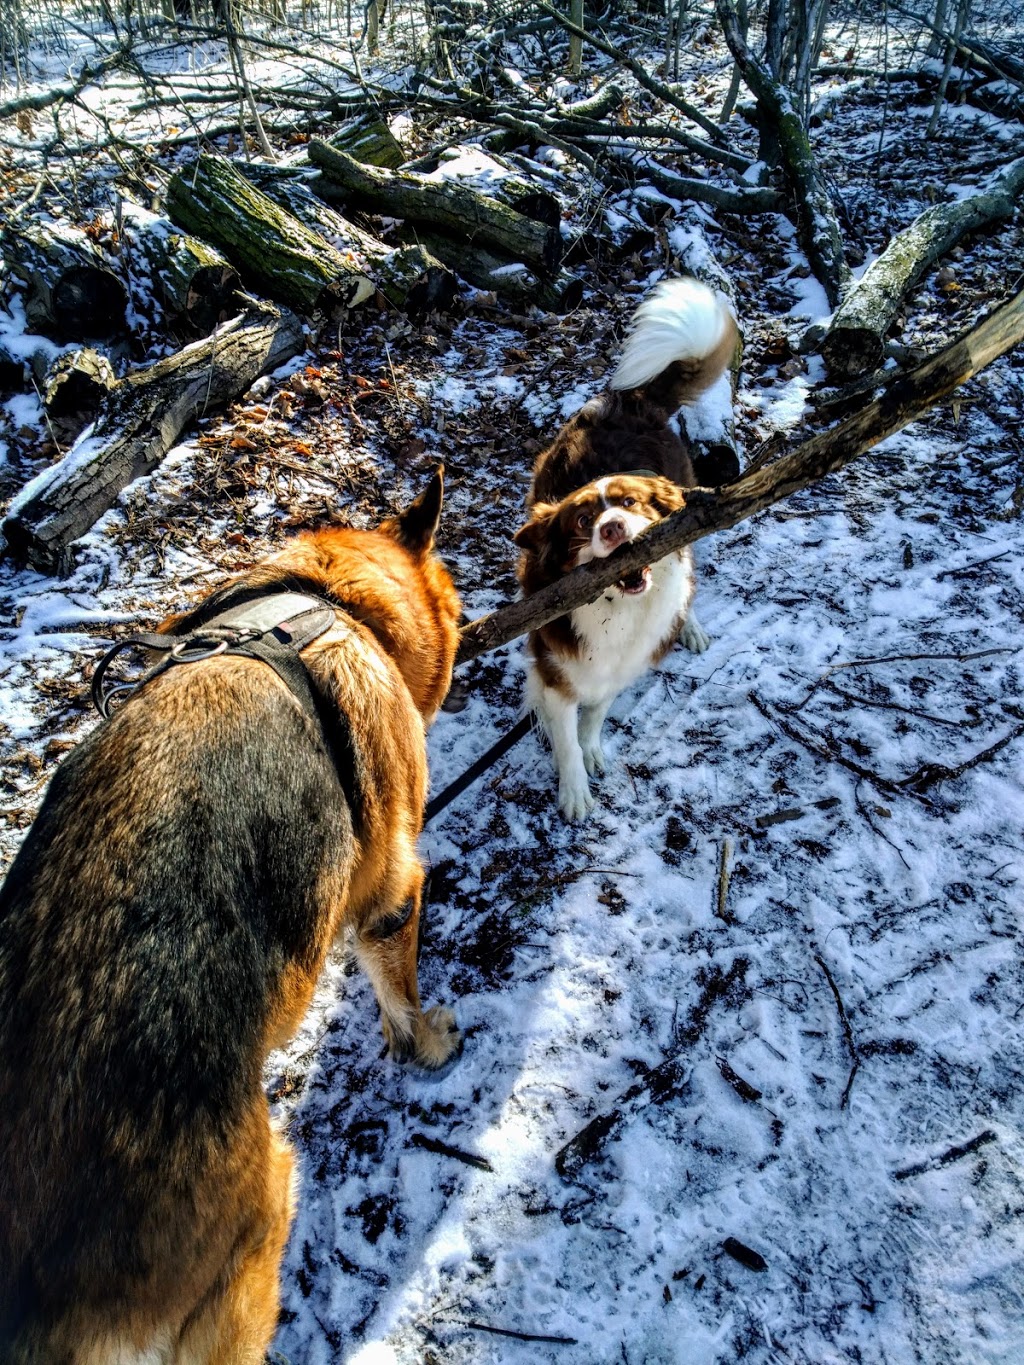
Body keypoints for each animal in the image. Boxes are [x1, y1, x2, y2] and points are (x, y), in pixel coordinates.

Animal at [516, 271, 742, 813]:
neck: (612, 610)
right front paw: (574, 788)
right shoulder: (556, 673)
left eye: (632, 503)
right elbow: (567, 738)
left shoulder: (617, 670)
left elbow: (594, 719)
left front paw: (592, 750)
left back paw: (689, 625)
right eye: (582, 520)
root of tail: (633, 403)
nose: (613, 527)